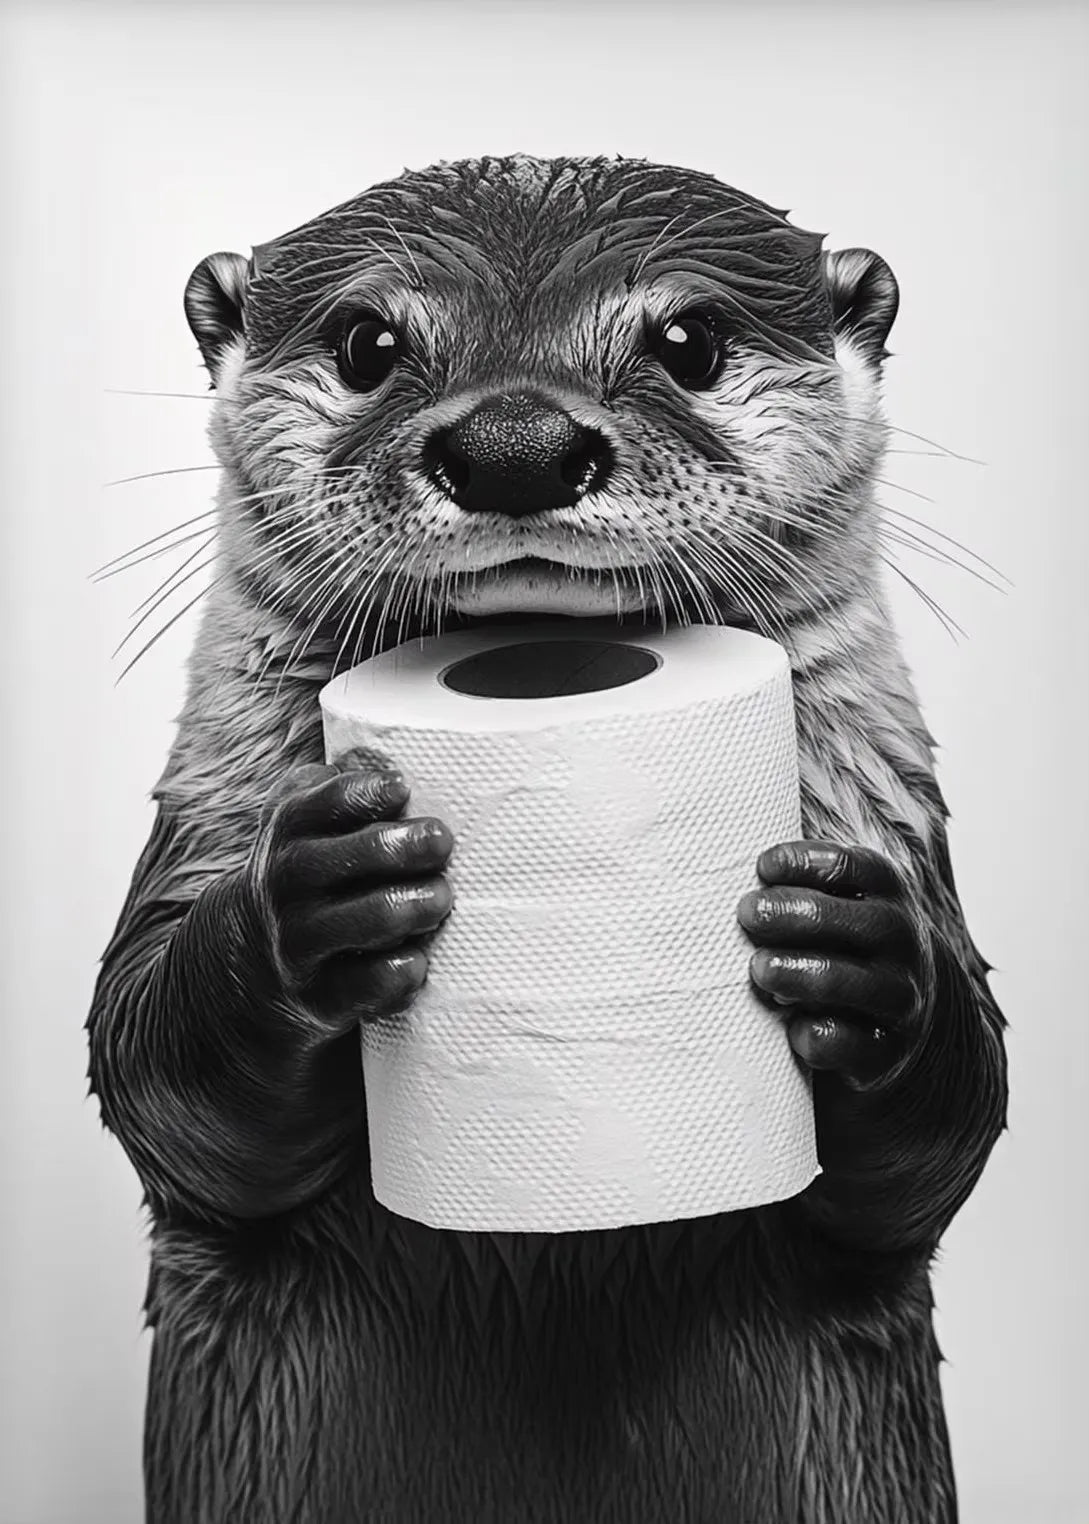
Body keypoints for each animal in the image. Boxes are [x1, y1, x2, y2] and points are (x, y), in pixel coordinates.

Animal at [87, 154, 1008, 1523]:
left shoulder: (894, 810)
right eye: (367, 342)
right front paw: (312, 904)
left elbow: (936, 1148)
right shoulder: (202, 818)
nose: (513, 444)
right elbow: (157, 1078)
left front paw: (858, 956)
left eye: (690, 339)